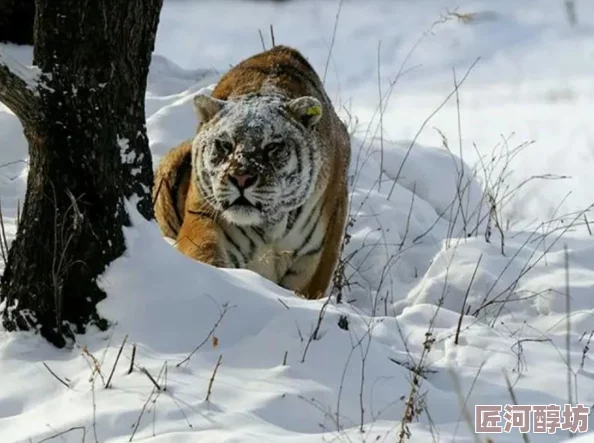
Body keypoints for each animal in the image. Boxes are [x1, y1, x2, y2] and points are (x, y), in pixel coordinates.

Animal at [150, 45, 352, 300]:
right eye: (225, 145)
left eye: (272, 146)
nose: (241, 178)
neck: (272, 225)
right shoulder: (204, 214)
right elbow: (205, 253)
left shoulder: (317, 254)